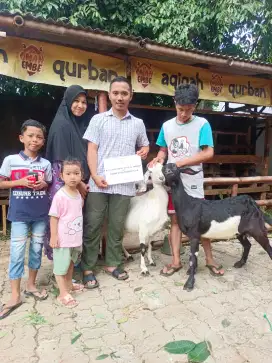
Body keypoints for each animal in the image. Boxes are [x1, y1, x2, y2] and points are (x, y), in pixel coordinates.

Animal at [163, 164, 272, 292]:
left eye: (175, 167)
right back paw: (240, 263)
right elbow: (193, 257)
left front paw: (189, 284)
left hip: (257, 228)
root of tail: (254, 204)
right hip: (240, 231)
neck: (188, 204)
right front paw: (190, 273)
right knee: (247, 245)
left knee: (268, 247)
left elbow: (192, 259)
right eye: (163, 168)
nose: (168, 171)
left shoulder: (194, 234)